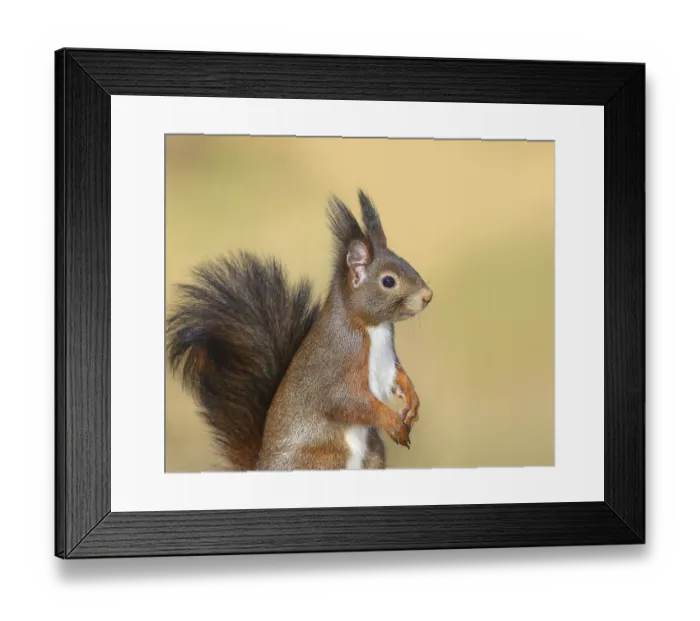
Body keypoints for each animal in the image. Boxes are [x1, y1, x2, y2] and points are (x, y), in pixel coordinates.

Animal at [166, 190, 433, 471]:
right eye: (388, 281)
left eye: (406, 261)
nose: (428, 296)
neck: (373, 328)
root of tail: (261, 467)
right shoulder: (335, 370)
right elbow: (349, 402)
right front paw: (393, 422)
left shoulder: (389, 361)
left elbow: (399, 376)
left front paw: (412, 401)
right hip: (324, 458)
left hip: (372, 454)